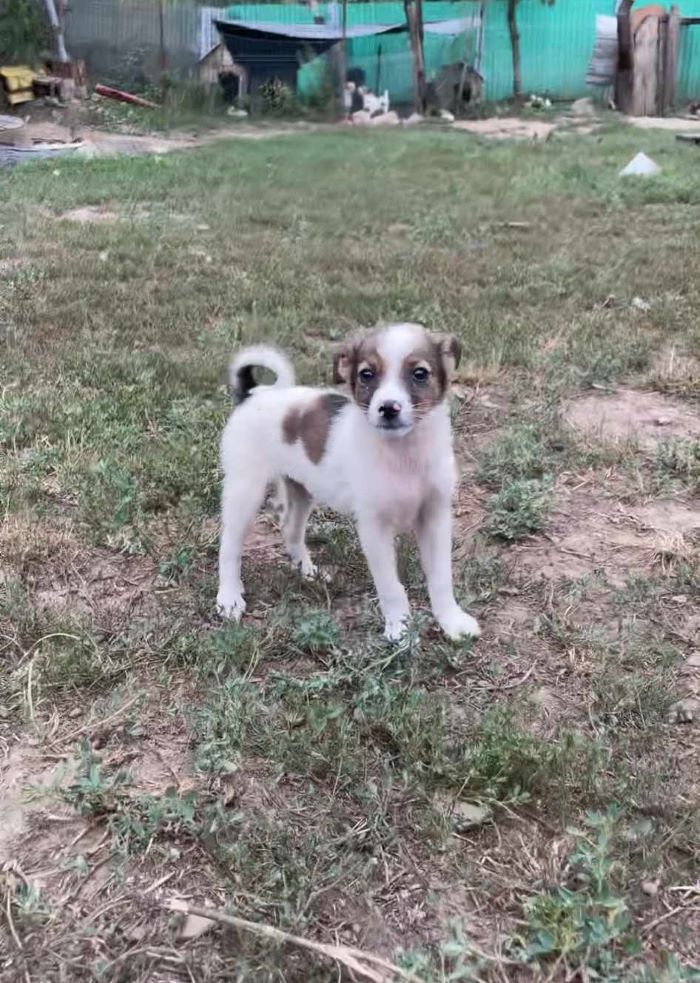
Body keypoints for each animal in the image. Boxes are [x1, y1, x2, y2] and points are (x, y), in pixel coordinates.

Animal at [217, 322, 482, 640]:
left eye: (420, 373)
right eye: (366, 374)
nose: (388, 408)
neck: (405, 454)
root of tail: (252, 394)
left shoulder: (435, 517)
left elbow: (442, 578)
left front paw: (451, 621)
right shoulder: (374, 527)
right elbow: (390, 586)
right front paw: (400, 628)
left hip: (302, 488)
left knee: (290, 528)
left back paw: (308, 571)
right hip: (245, 488)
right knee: (229, 546)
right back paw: (229, 598)